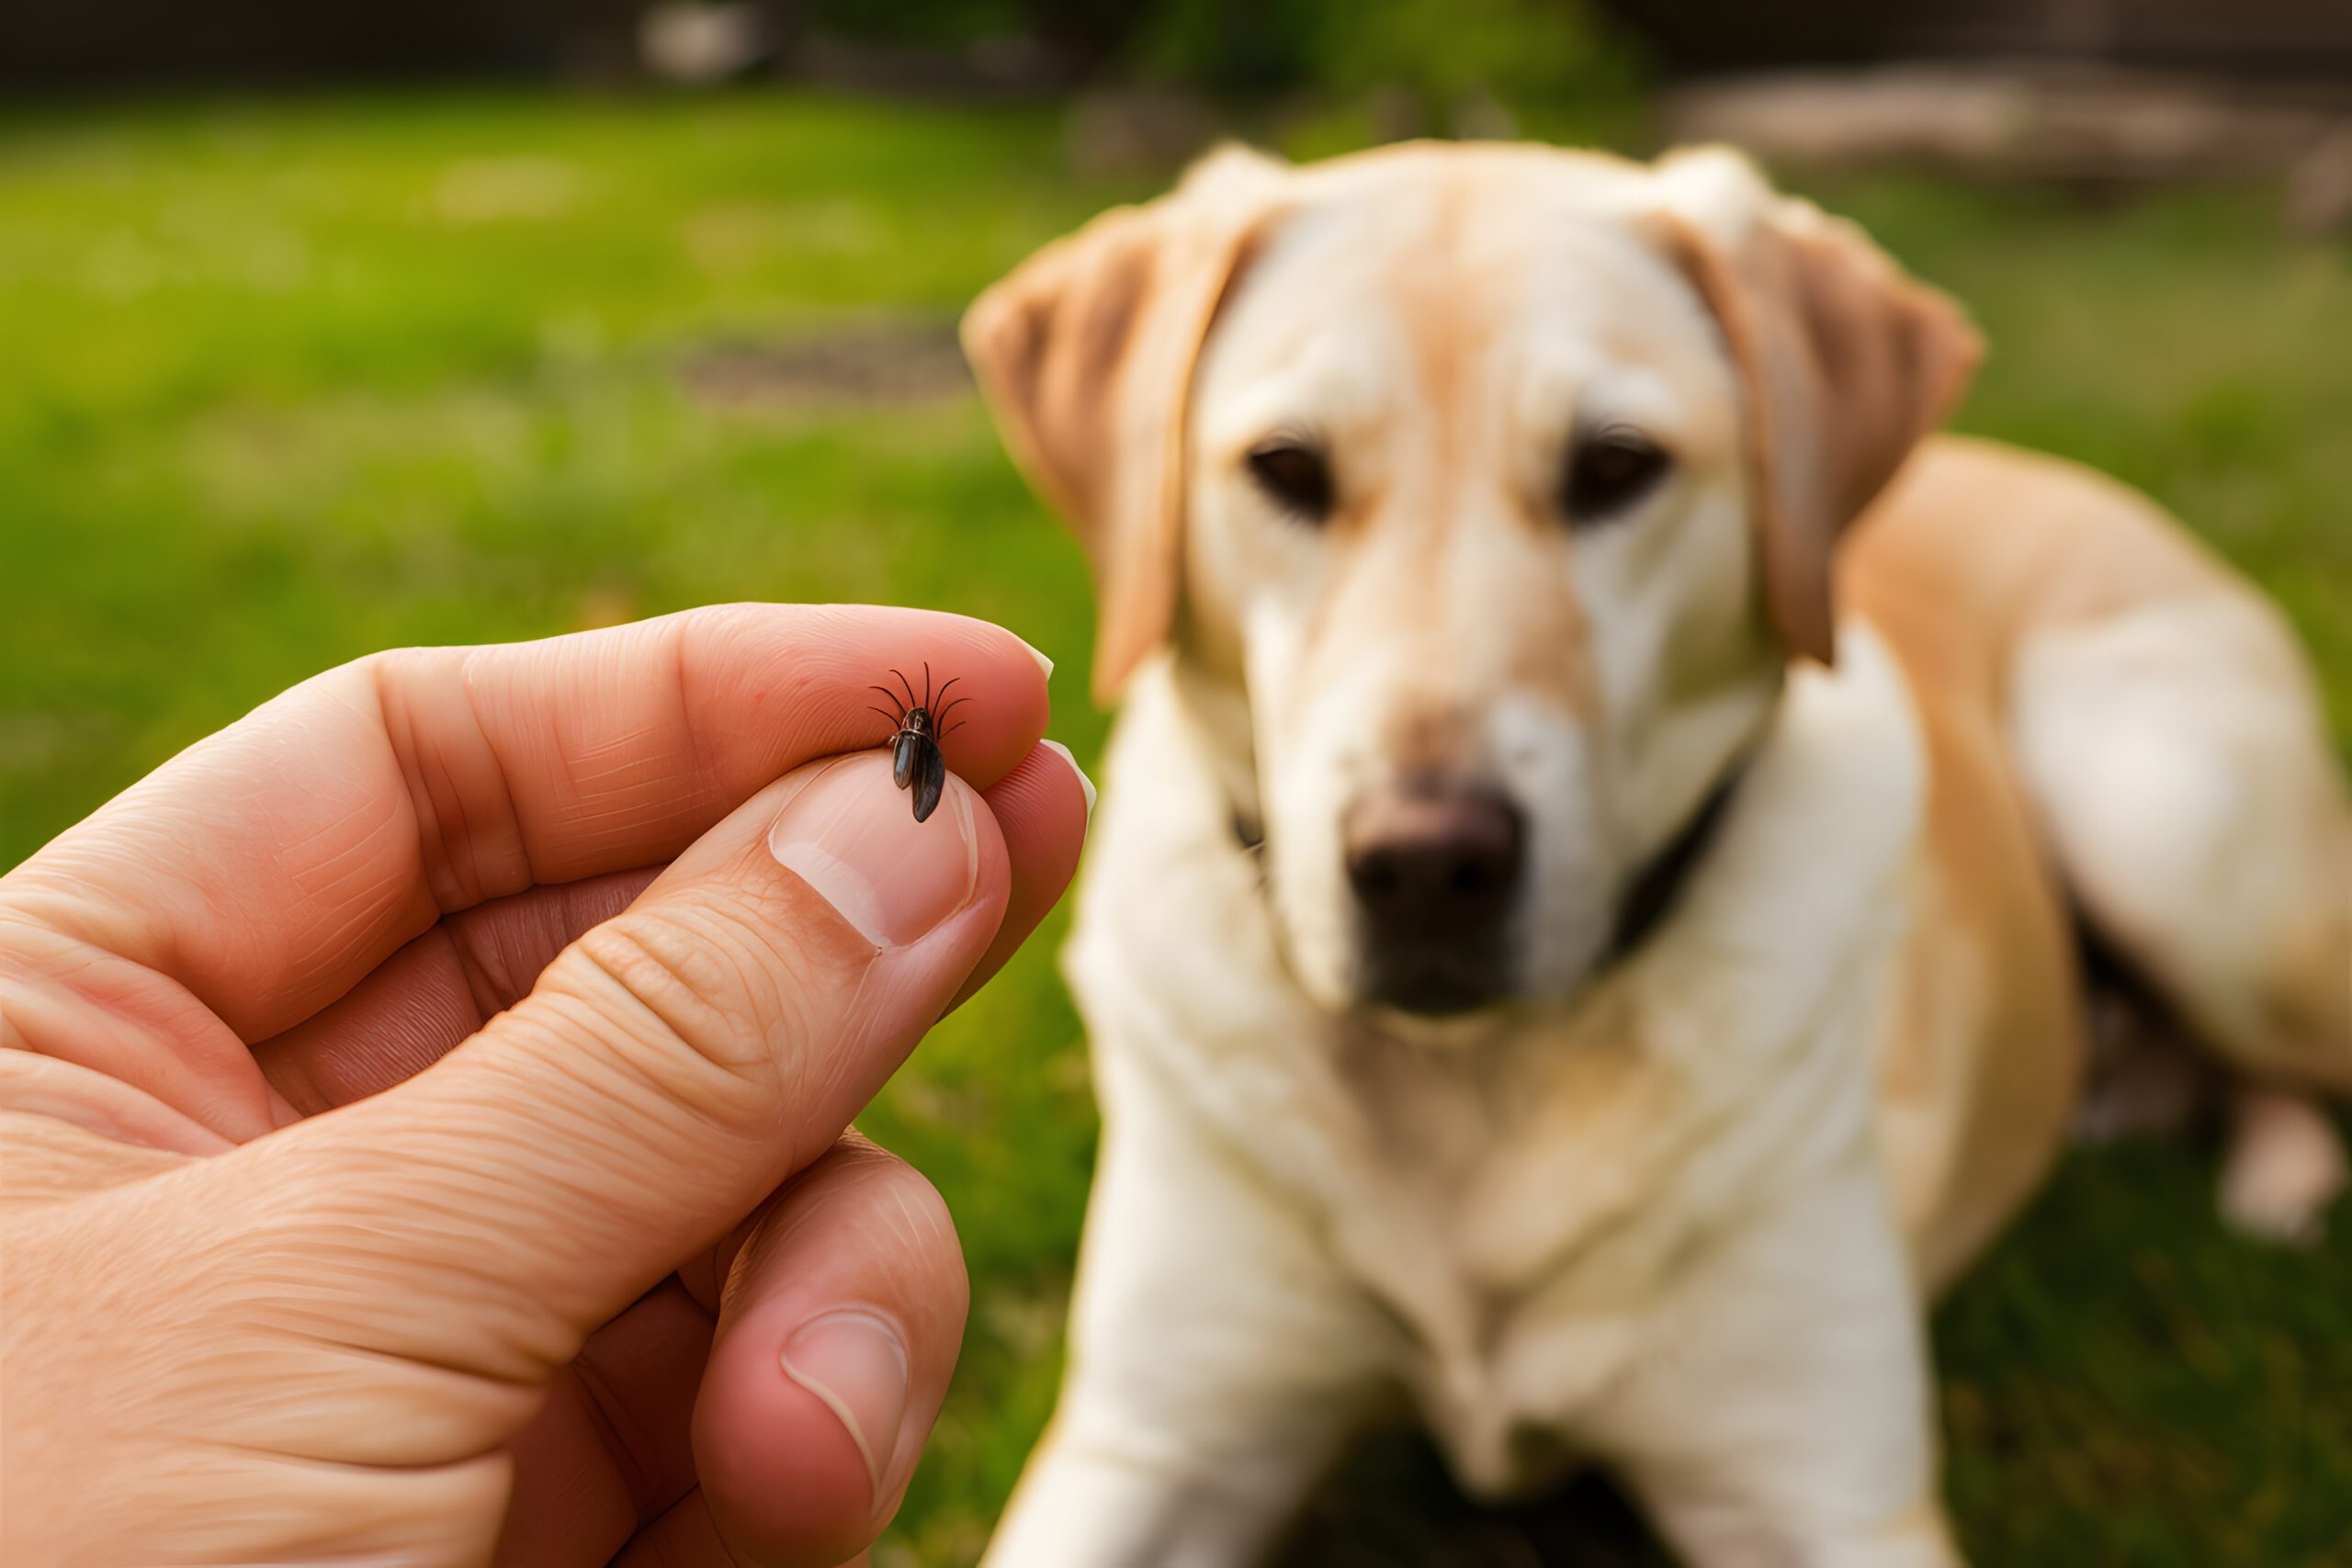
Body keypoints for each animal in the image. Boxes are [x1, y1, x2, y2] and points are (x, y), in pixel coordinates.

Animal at [955, 141, 2352, 1561]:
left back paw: (2272, 1181)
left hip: (2166, 820)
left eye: (1616, 467)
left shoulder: (1826, 1499)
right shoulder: (1153, 1442)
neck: (1476, 1084)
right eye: (1286, 469)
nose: (1425, 866)